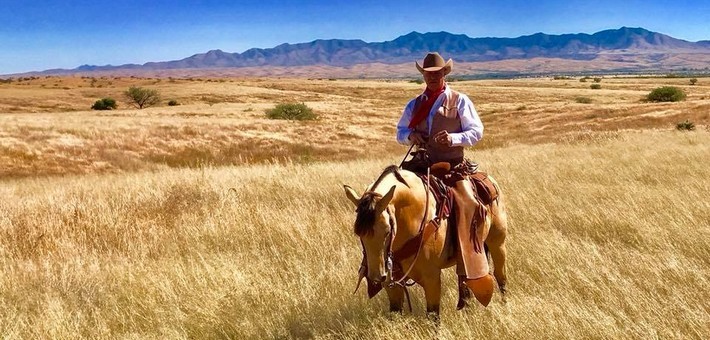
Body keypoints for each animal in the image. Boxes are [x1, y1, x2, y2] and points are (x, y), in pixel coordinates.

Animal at [344, 166, 506, 318]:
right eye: (358, 233)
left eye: (387, 231)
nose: (377, 277)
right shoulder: (392, 284)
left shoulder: (431, 278)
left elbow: (433, 315)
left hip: (497, 244)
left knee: (500, 277)